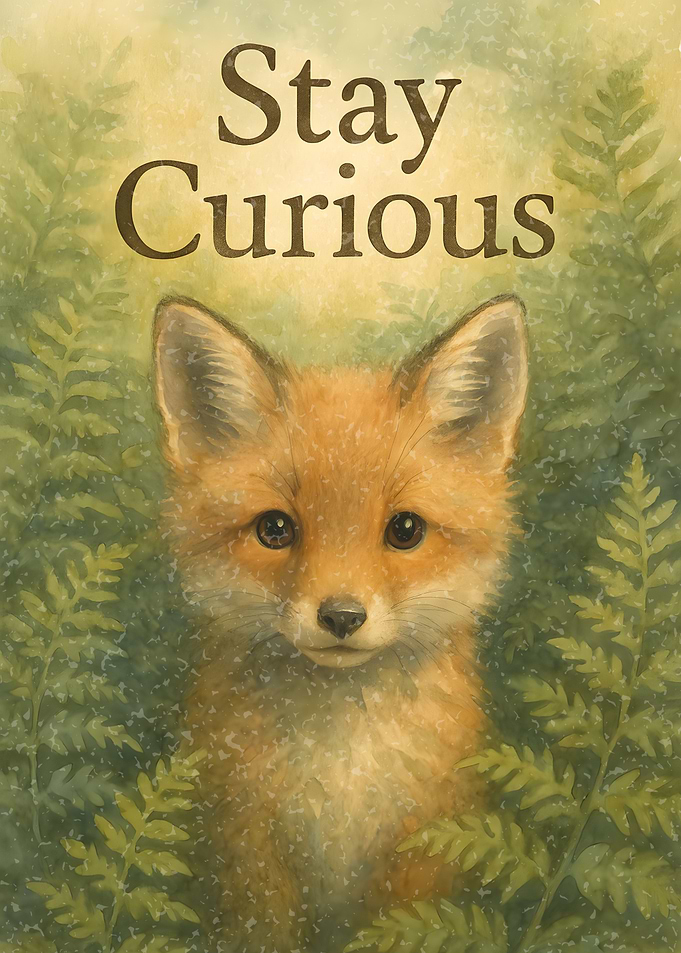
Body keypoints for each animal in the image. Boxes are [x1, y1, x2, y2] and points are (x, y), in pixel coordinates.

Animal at [152, 293, 528, 952]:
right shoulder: (247, 856)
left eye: (405, 529)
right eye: (275, 528)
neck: (340, 776)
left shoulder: (424, 849)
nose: (342, 617)